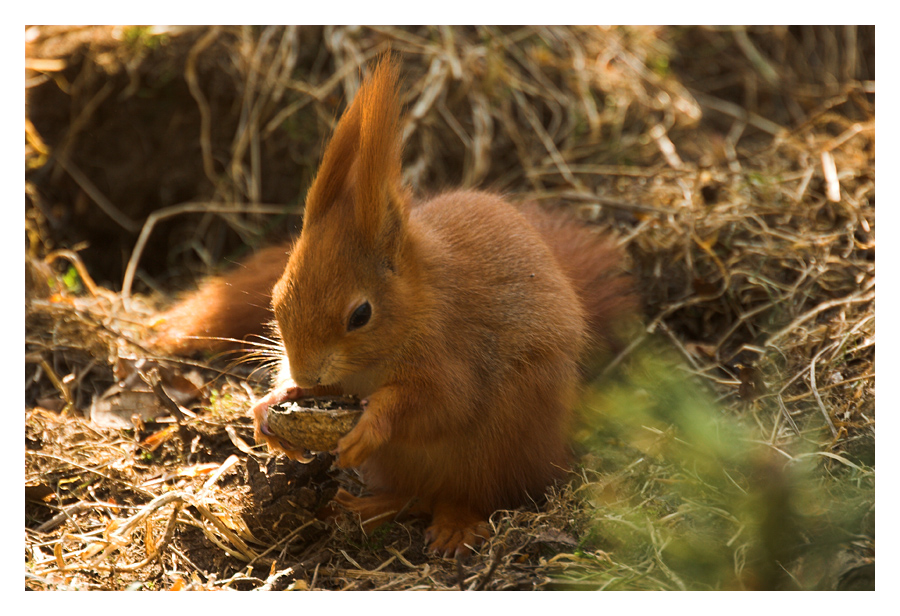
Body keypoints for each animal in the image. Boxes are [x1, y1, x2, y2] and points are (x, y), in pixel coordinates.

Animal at [151, 57, 636, 560]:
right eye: (277, 297)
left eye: (360, 315)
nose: (307, 374)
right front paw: (271, 405)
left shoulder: (451, 354)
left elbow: (440, 403)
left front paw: (373, 421)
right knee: (411, 495)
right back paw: (360, 506)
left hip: (504, 438)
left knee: (472, 494)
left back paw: (456, 524)